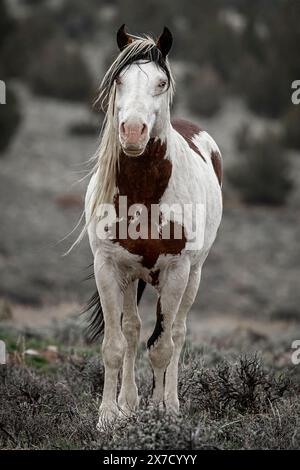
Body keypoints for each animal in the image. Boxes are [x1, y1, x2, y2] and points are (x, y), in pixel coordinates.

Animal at [83, 26, 221, 430]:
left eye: (161, 82)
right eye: (119, 80)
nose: (132, 132)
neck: (144, 193)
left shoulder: (176, 270)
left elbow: (162, 347)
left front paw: (161, 414)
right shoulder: (109, 267)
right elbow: (115, 344)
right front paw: (109, 416)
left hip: (193, 275)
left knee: (176, 332)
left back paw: (170, 403)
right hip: (133, 277)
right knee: (131, 332)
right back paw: (128, 404)